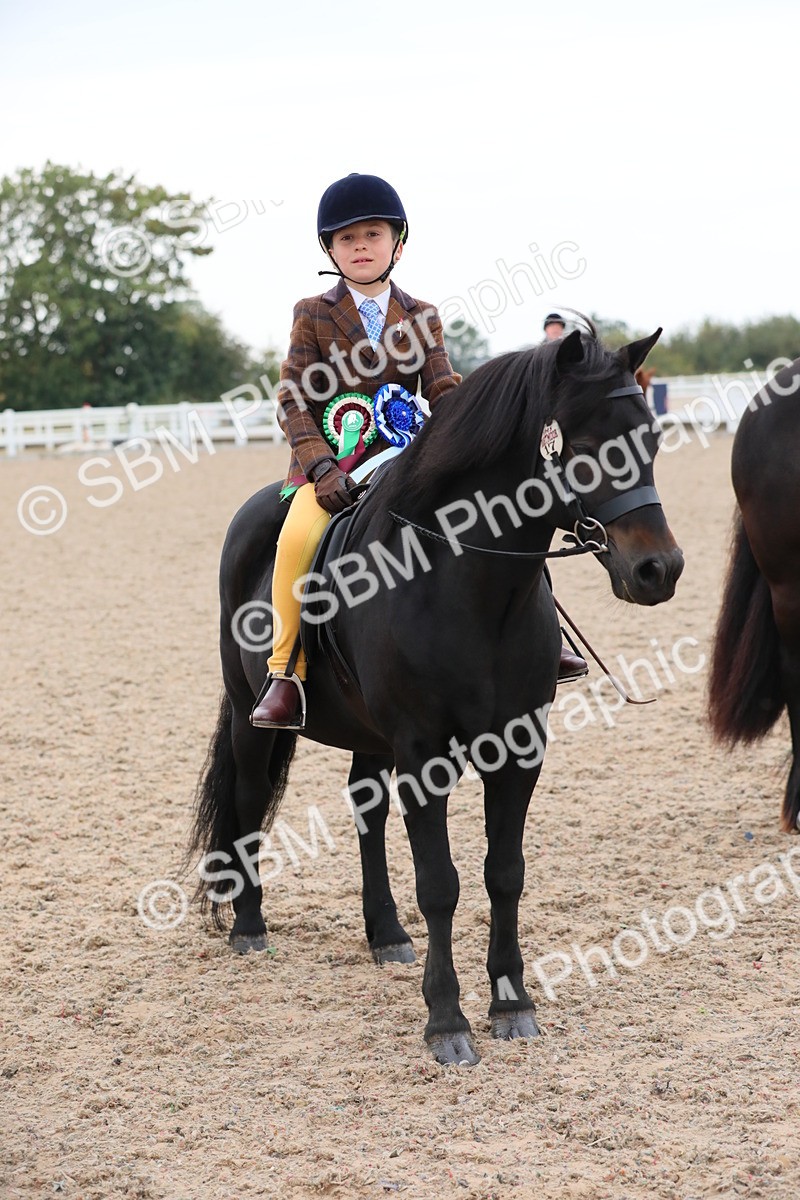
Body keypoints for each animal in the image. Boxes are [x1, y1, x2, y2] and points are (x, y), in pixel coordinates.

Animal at [188, 326, 684, 1066]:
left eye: (649, 436)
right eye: (588, 441)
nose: (659, 569)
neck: (469, 586)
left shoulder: (519, 750)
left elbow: (504, 871)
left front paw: (512, 1004)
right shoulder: (425, 755)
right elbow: (441, 883)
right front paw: (447, 1021)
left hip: (369, 735)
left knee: (366, 812)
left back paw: (386, 934)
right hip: (254, 717)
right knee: (249, 801)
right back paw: (249, 926)